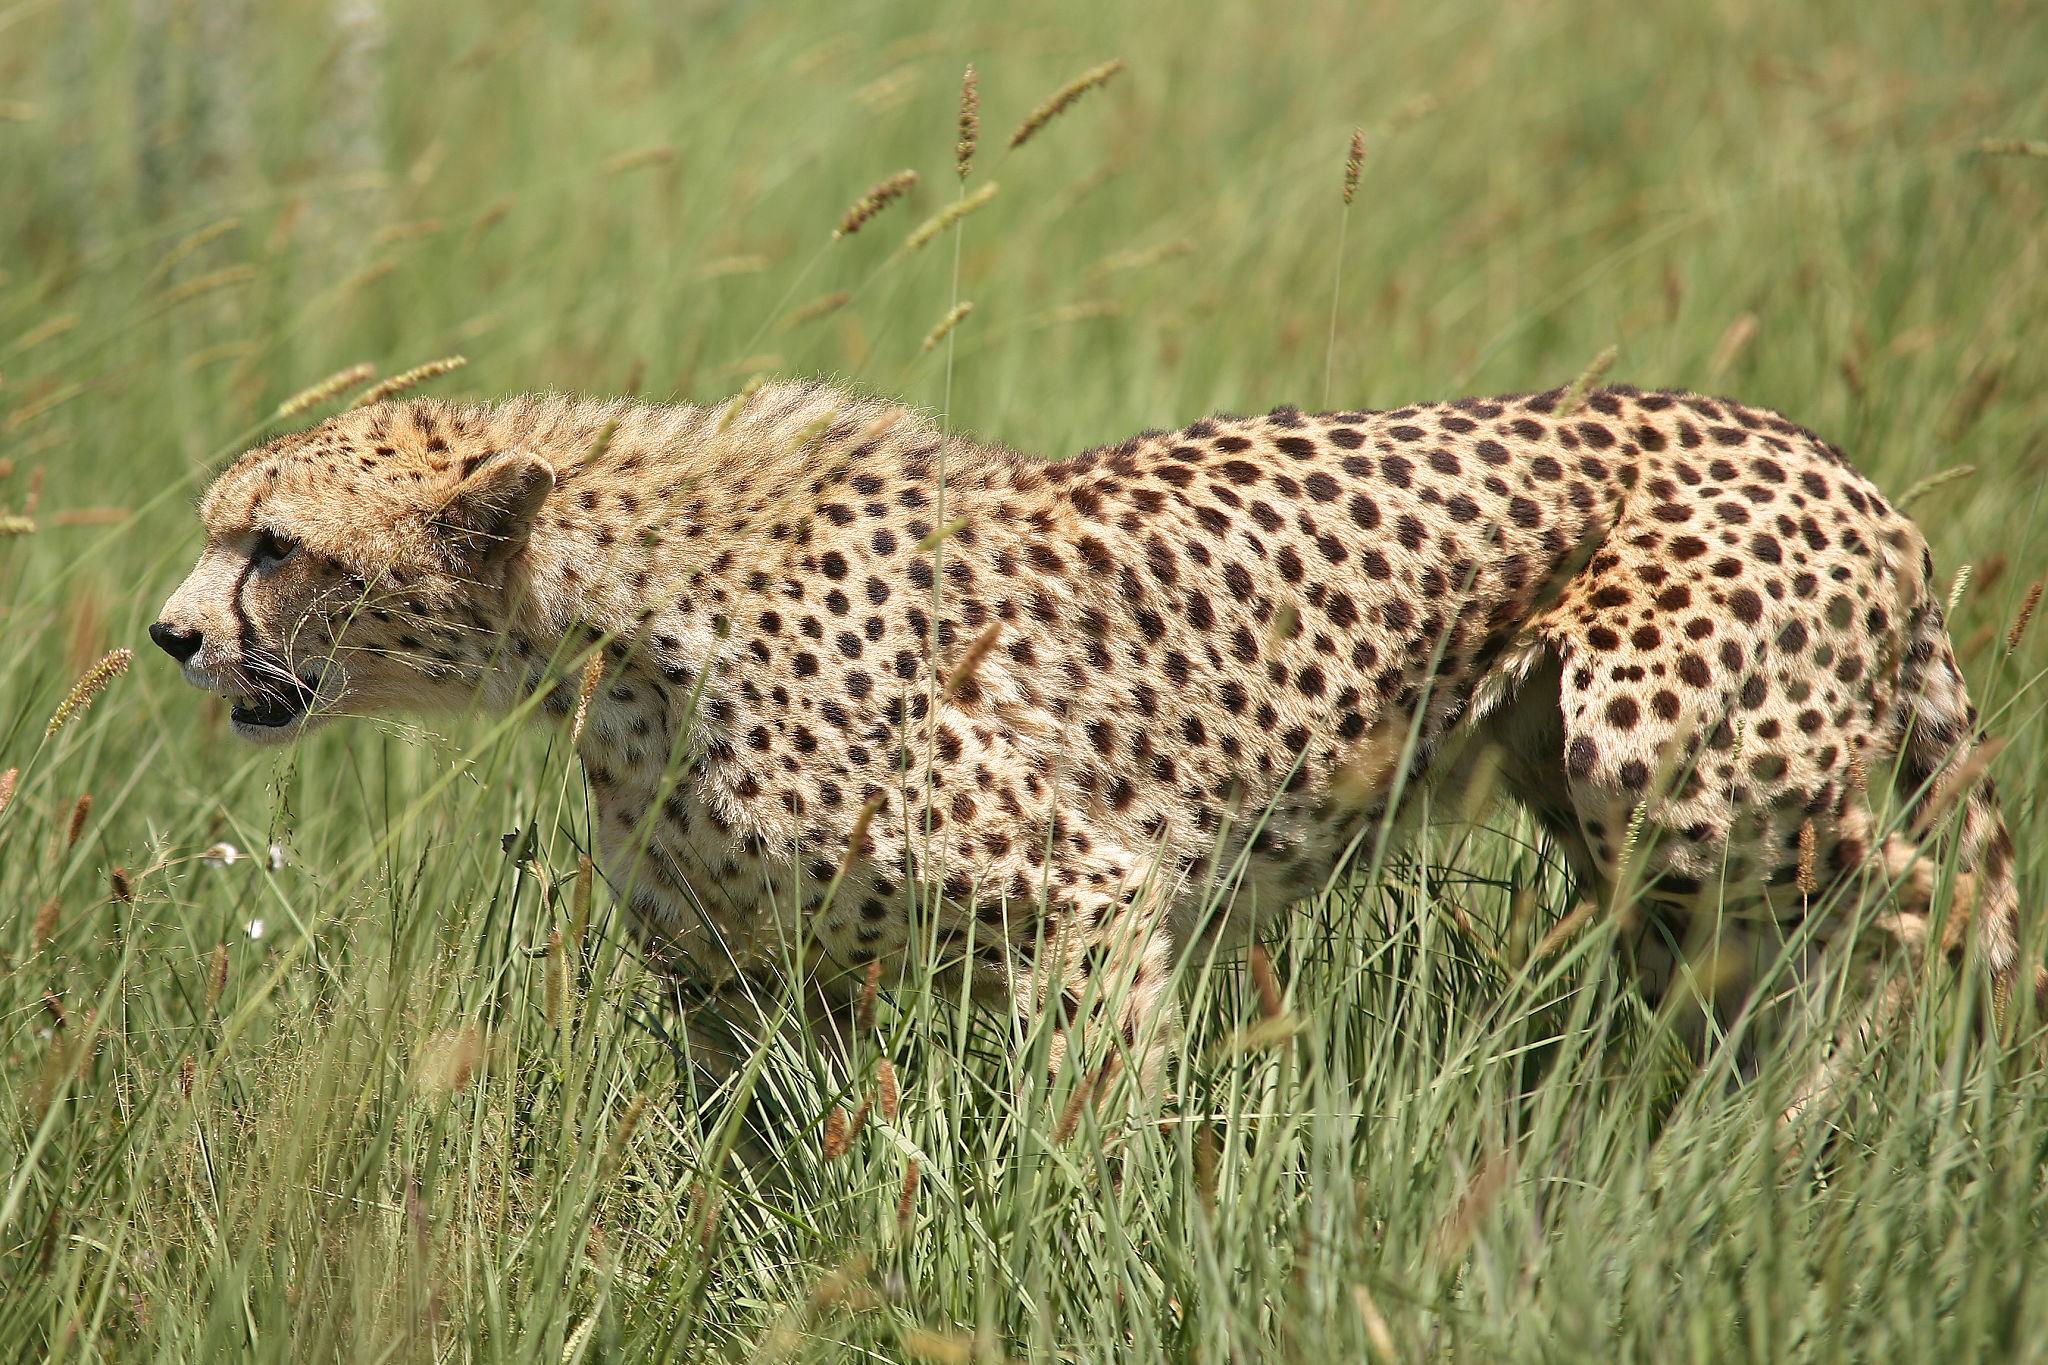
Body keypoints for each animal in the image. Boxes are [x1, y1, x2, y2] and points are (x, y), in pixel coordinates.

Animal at [152, 378, 2027, 1109]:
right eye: (224, 528)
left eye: (276, 546)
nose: (170, 634)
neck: (596, 628)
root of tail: (1826, 455)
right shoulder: (743, 983)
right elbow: (755, 1176)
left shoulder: (1088, 900)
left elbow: (1089, 1127)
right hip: (1622, 827)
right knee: (1749, 966)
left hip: (1672, 766)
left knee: (1925, 913)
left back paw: (1863, 1118)